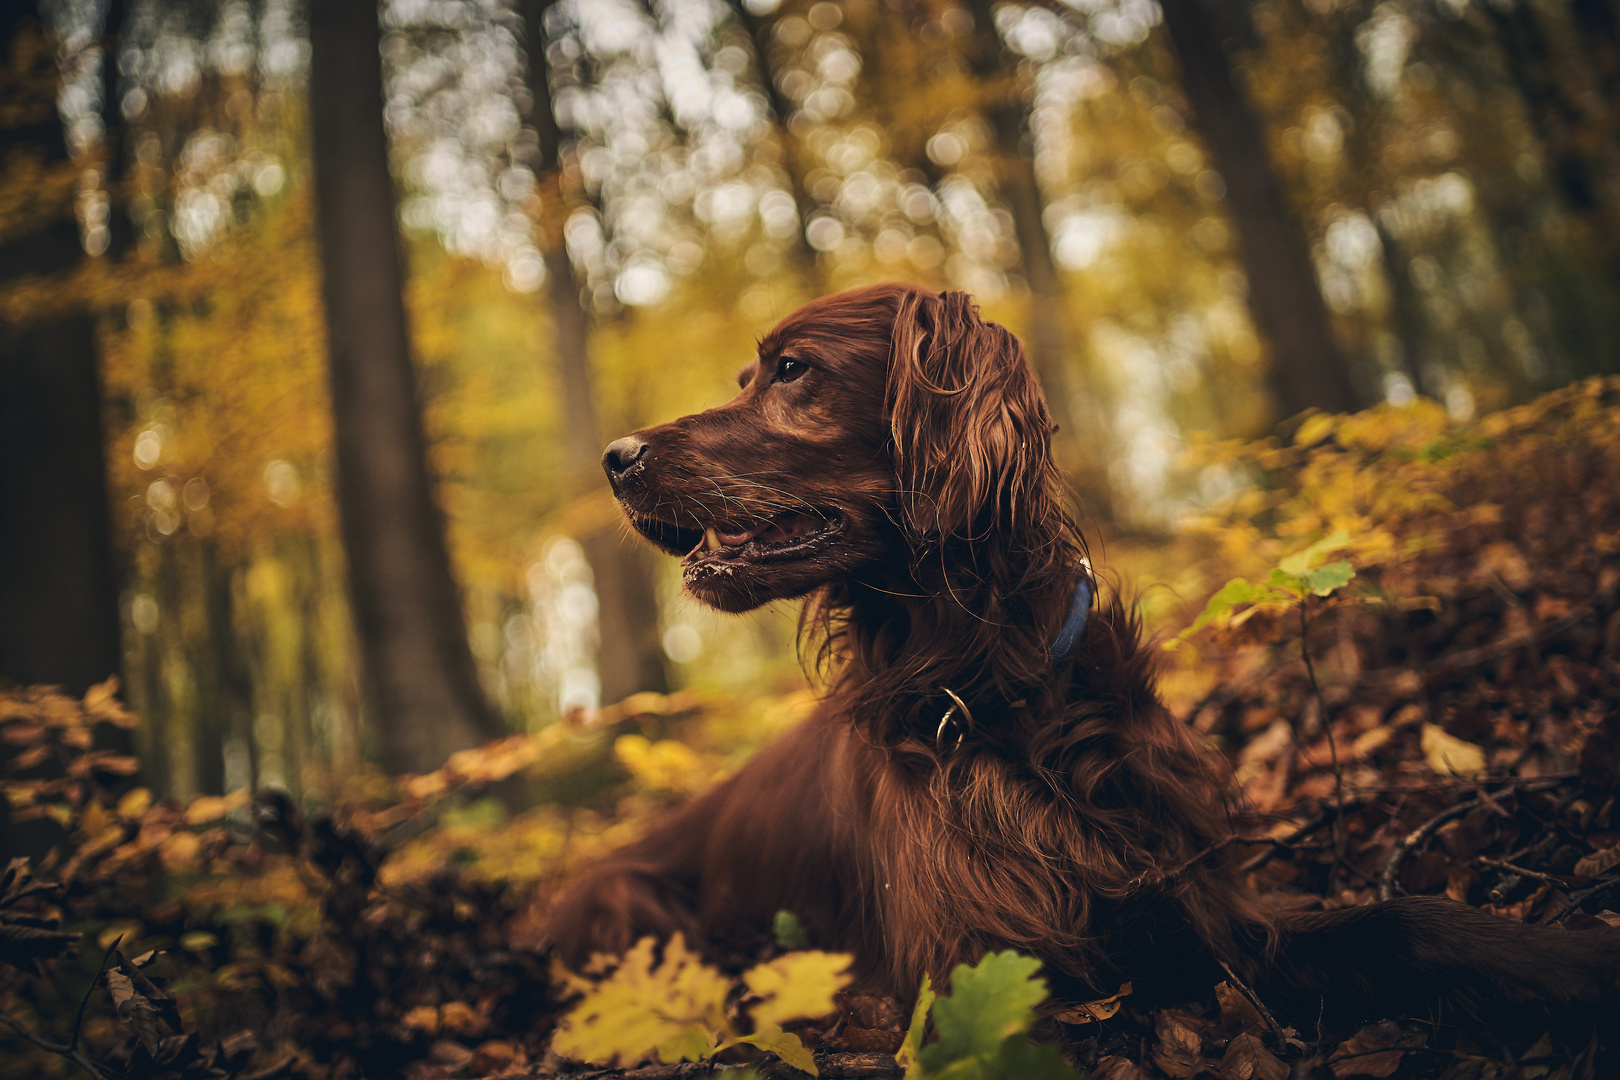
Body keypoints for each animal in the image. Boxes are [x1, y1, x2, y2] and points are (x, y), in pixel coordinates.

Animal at [544, 283, 1620, 1036]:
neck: (987, 682)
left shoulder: (1207, 909)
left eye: (792, 370)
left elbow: (1410, 919)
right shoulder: (977, 978)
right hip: (631, 905)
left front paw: (1575, 966)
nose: (613, 458)